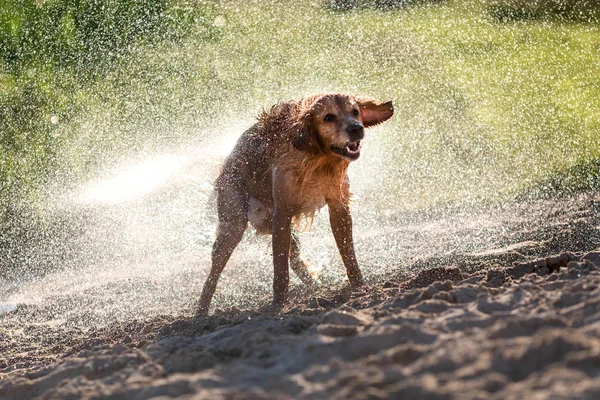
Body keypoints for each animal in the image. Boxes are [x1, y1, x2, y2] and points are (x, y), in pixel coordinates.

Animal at [197, 92, 394, 314]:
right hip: (234, 222)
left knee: (295, 258)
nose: (356, 129)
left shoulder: (338, 206)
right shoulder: (282, 212)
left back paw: (316, 288)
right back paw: (201, 312)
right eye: (328, 117)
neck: (318, 158)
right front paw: (278, 304)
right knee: (215, 269)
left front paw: (359, 286)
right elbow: (280, 269)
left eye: (355, 112)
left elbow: (348, 253)